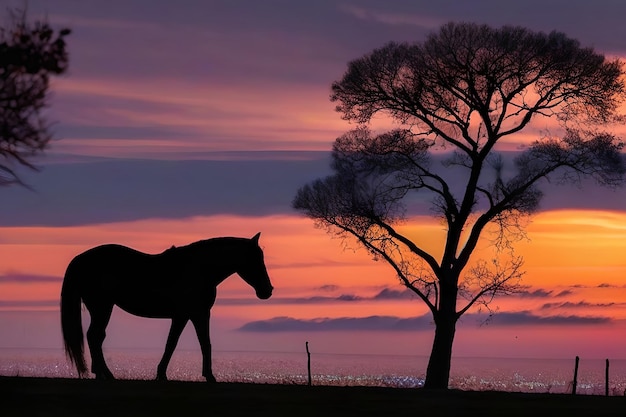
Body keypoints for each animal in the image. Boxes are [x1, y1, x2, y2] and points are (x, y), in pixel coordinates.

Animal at [59, 232, 272, 382]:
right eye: (255, 259)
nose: (267, 290)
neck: (198, 269)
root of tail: (81, 259)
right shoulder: (192, 314)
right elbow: (188, 343)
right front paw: (205, 376)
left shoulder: (190, 315)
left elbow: (188, 343)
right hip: (102, 307)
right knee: (95, 336)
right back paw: (108, 375)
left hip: (101, 308)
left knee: (96, 337)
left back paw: (100, 373)